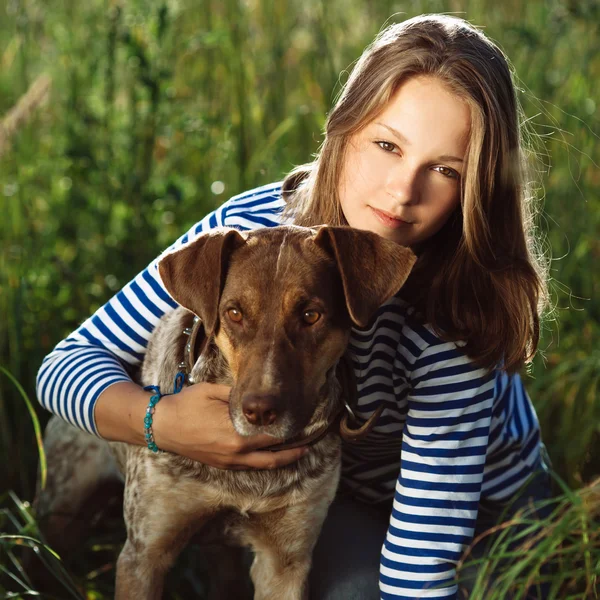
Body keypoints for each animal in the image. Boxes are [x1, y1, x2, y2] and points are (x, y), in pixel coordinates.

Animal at [35, 226, 414, 600]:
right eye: (234, 313)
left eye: (311, 315)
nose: (260, 411)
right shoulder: (144, 555)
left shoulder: (285, 562)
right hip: (62, 509)